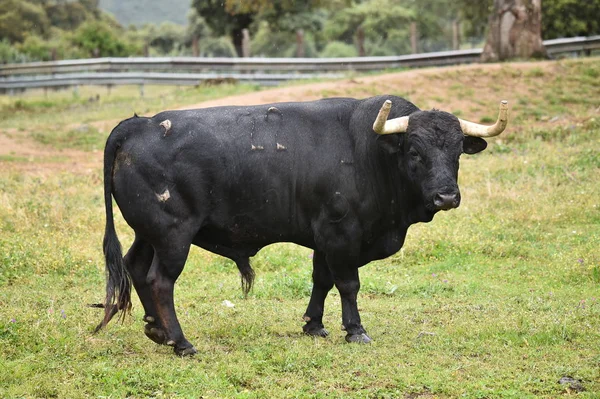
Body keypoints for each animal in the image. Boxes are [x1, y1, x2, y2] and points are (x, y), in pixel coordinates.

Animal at [95, 94, 506, 356]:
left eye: (457, 152)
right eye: (415, 152)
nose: (446, 197)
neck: (368, 152)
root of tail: (139, 125)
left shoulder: (324, 238)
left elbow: (321, 280)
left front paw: (314, 325)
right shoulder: (341, 234)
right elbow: (348, 284)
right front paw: (355, 330)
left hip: (148, 233)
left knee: (135, 267)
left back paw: (156, 329)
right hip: (173, 235)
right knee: (159, 281)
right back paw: (180, 342)